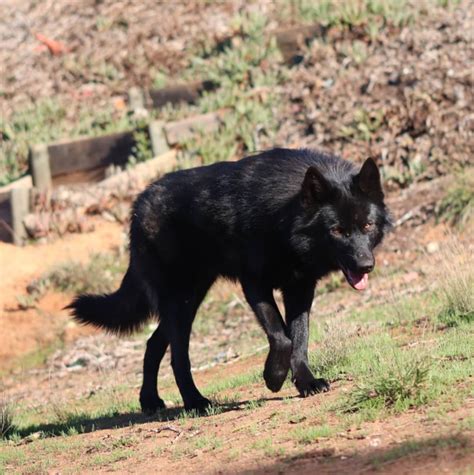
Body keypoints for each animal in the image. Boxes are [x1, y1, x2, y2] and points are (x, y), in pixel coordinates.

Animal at [68, 149, 390, 412]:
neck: (285, 219)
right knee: (178, 356)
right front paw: (273, 377)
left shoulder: (300, 289)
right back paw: (195, 402)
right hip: (181, 304)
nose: (366, 265)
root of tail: (138, 204)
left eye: (367, 225)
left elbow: (300, 338)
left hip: (188, 299)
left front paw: (306, 383)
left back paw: (150, 401)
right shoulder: (254, 284)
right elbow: (281, 337)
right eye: (336, 230)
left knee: (153, 343)